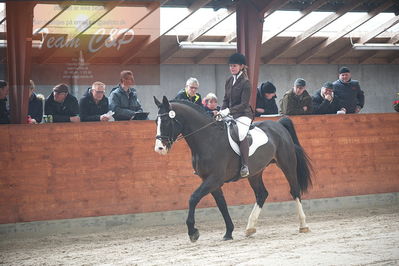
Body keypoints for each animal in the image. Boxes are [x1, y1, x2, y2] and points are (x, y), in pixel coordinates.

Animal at [153, 96, 312, 242]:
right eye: (156, 121)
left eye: (166, 120)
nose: (159, 148)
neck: (208, 139)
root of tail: (278, 124)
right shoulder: (211, 181)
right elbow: (222, 204)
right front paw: (228, 232)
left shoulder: (214, 179)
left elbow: (193, 198)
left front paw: (193, 232)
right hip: (255, 173)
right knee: (262, 194)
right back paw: (250, 228)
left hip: (287, 165)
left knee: (294, 191)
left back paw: (303, 225)